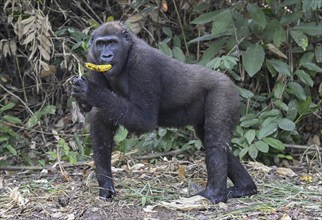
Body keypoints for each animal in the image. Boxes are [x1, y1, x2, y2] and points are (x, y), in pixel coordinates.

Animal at [71, 21, 258, 203]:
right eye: (101, 44)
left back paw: (215, 194)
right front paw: (105, 186)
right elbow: (100, 119)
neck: (128, 50)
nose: (106, 56)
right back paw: (245, 187)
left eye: (112, 43)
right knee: (210, 139)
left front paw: (90, 91)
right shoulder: (92, 58)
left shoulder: (143, 63)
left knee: (215, 142)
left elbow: (144, 119)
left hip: (225, 92)